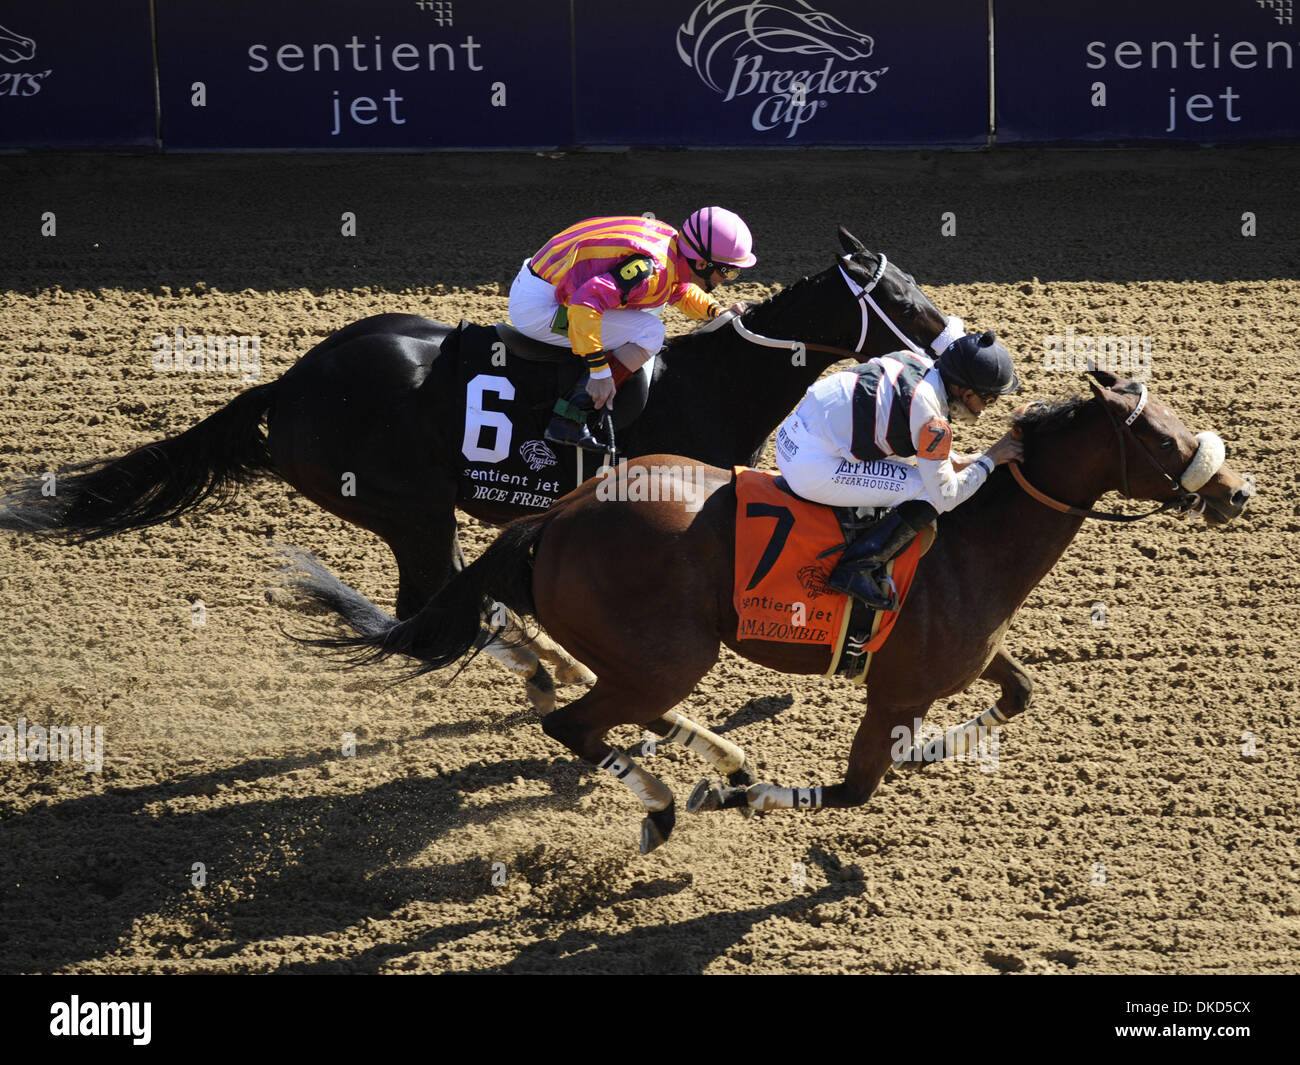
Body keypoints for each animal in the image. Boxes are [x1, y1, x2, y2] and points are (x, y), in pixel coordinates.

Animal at [2, 227, 967, 707]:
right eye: (905, 299)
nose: (970, 350)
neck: (704, 382)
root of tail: (290, 383)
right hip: (409, 508)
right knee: (424, 607)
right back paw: (539, 664)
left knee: (442, 606)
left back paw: (543, 661)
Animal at [279, 371, 1253, 853]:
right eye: (1157, 435)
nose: (1237, 491)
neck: (969, 545)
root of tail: (556, 513)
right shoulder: (895, 689)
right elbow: (856, 789)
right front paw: (745, 798)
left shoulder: (967, 661)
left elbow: (1016, 695)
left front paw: (931, 750)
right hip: (671, 649)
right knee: (577, 723)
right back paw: (668, 800)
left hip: (656, 651)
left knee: (621, 708)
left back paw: (712, 756)